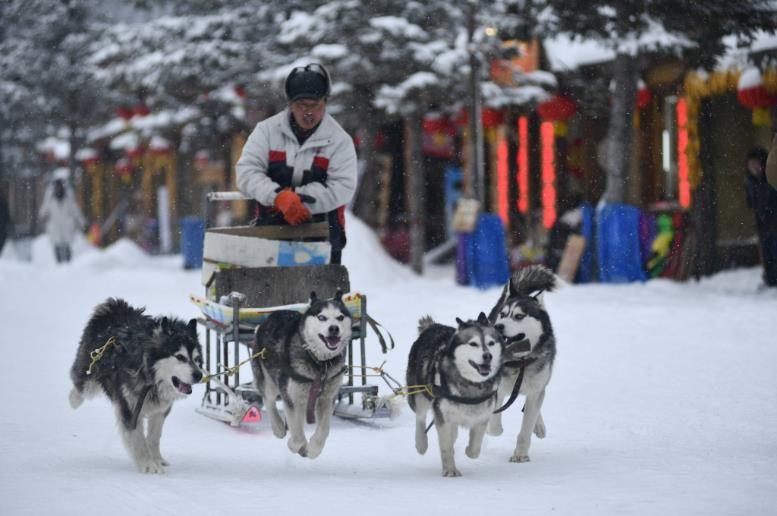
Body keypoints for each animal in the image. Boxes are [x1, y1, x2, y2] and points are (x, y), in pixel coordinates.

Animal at [69, 300, 203, 474]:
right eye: (180, 357)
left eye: (197, 359)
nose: (199, 375)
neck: (151, 378)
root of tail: (116, 306)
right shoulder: (130, 409)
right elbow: (138, 440)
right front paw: (148, 465)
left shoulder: (160, 411)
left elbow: (153, 438)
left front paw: (157, 460)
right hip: (90, 373)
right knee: (81, 383)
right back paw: (74, 400)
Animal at [252, 290, 352, 460]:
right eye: (321, 317)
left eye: (340, 317)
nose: (334, 328)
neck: (319, 363)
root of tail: (271, 316)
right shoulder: (292, 398)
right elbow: (298, 437)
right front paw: (295, 446)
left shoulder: (327, 398)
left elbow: (324, 430)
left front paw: (313, 450)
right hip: (269, 381)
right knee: (268, 400)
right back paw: (278, 427)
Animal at [406, 312, 504, 478]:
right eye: (473, 344)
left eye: (491, 343)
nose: (488, 356)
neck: (471, 385)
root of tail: (433, 326)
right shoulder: (442, 415)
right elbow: (446, 447)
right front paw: (450, 470)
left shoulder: (483, 416)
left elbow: (475, 449)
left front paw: (468, 450)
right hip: (420, 395)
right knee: (420, 417)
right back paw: (421, 443)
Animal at [488, 266, 556, 464]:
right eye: (503, 315)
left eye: (518, 316)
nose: (499, 326)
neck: (521, 361)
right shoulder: (496, 388)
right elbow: (494, 426)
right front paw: (494, 428)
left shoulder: (536, 388)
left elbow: (527, 426)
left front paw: (520, 454)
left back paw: (539, 426)